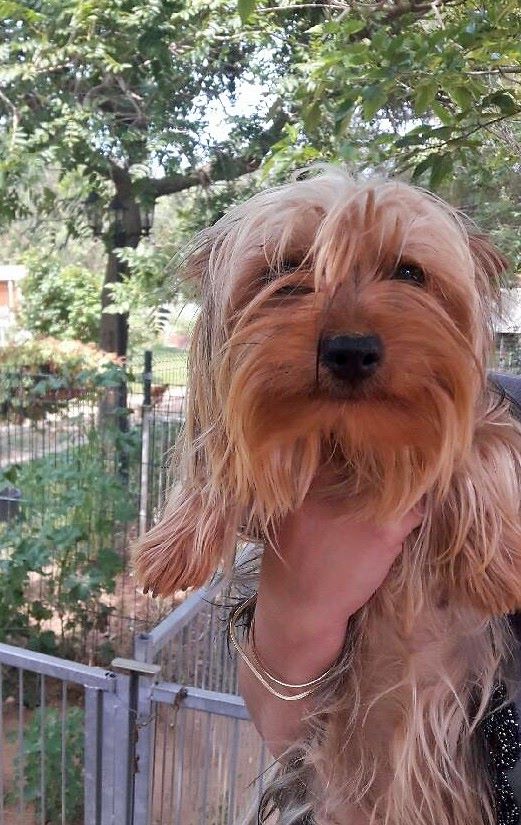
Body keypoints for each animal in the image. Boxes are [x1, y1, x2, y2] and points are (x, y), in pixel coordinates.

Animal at [134, 167, 520, 824]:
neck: (349, 437)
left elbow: (486, 440)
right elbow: (220, 457)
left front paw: (496, 566)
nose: (350, 350)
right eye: (287, 267)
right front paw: (173, 543)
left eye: (409, 272)